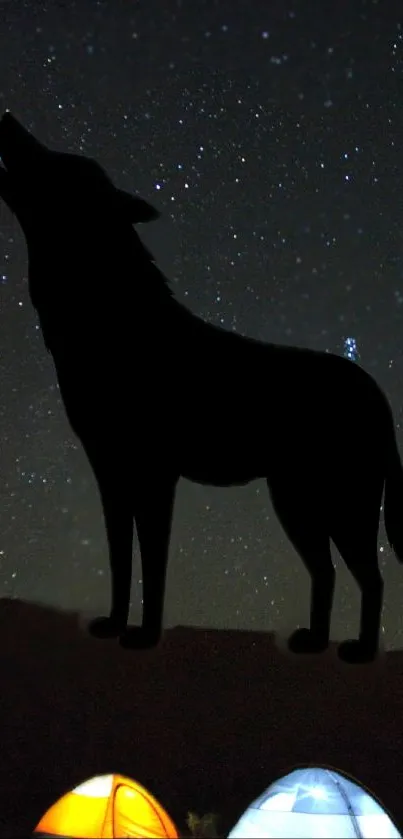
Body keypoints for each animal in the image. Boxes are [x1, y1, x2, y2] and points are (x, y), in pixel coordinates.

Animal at [0, 110, 403, 664]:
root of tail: (378, 391)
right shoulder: (110, 474)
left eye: (59, 161)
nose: (6, 118)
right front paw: (112, 625)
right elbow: (120, 560)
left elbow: (153, 565)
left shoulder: (154, 477)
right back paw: (314, 641)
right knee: (326, 572)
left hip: (346, 506)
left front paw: (144, 636)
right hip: (296, 504)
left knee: (373, 577)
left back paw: (359, 651)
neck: (104, 316)